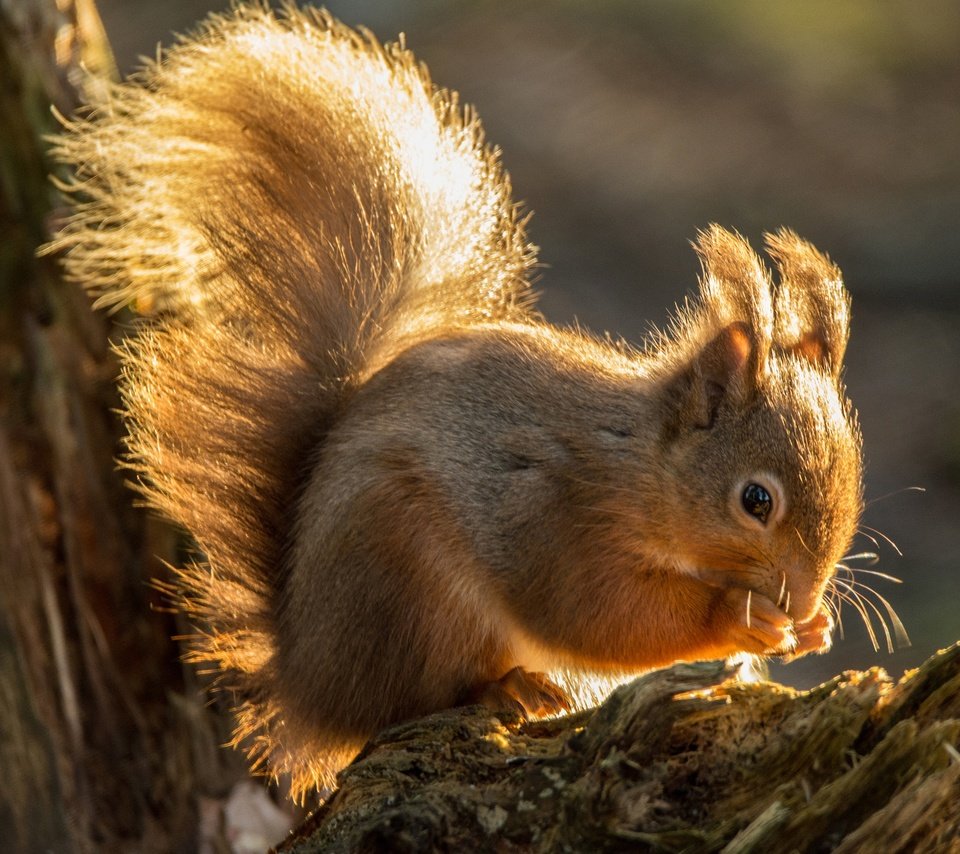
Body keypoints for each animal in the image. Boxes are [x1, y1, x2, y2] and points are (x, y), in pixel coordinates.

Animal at [50, 3, 864, 804]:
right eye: (755, 501)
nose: (799, 599)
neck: (638, 463)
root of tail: (306, 677)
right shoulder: (551, 511)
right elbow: (596, 614)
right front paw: (739, 618)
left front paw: (815, 629)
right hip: (408, 582)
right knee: (410, 701)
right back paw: (506, 688)